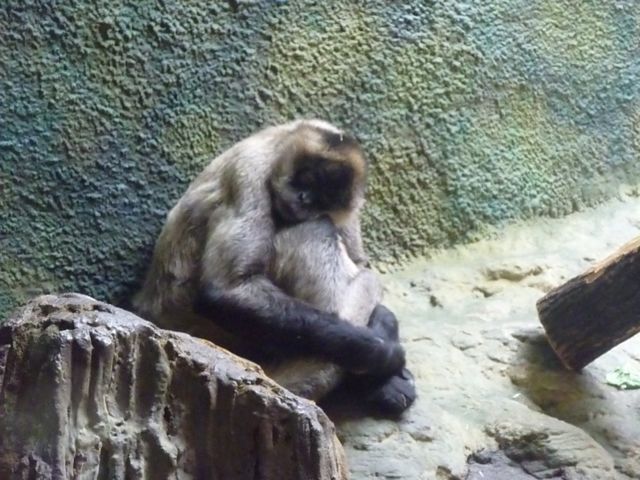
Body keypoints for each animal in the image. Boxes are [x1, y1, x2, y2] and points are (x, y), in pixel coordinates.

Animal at [133, 119, 416, 415]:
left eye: (325, 197)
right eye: (308, 179)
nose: (304, 199)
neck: (279, 142)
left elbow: (360, 261)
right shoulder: (250, 171)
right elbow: (226, 290)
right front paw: (384, 354)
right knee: (316, 228)